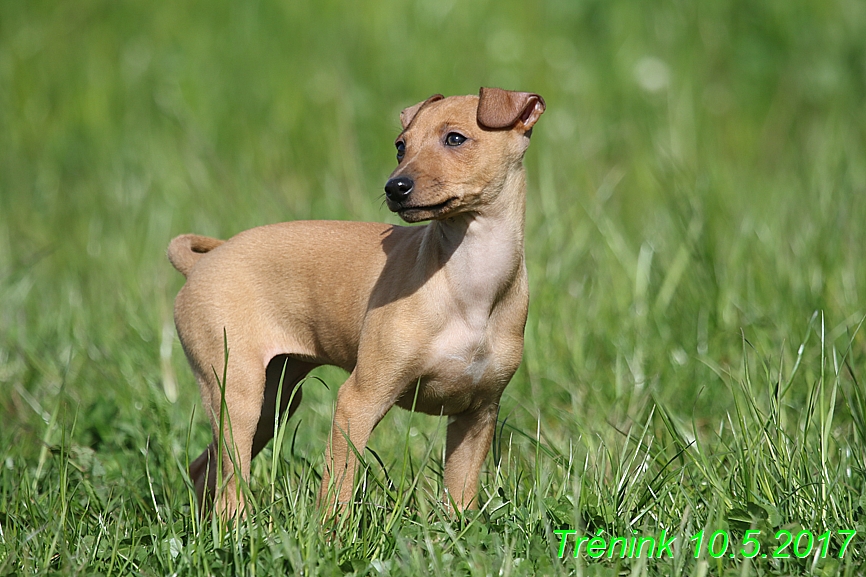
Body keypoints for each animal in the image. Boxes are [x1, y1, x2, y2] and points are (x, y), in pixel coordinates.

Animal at [166, 86, 544, 516]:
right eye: (400, 146)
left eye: (455, 138)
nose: (395, 187)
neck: (469, 282)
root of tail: (202, 263)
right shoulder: (359, 401)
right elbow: (339, 485)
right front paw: (331, 530)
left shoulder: (478, 413)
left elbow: (460, 495)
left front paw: (460, 533)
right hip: (237, 393)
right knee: (231, 481)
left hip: (273, 401)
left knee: (204, 468)